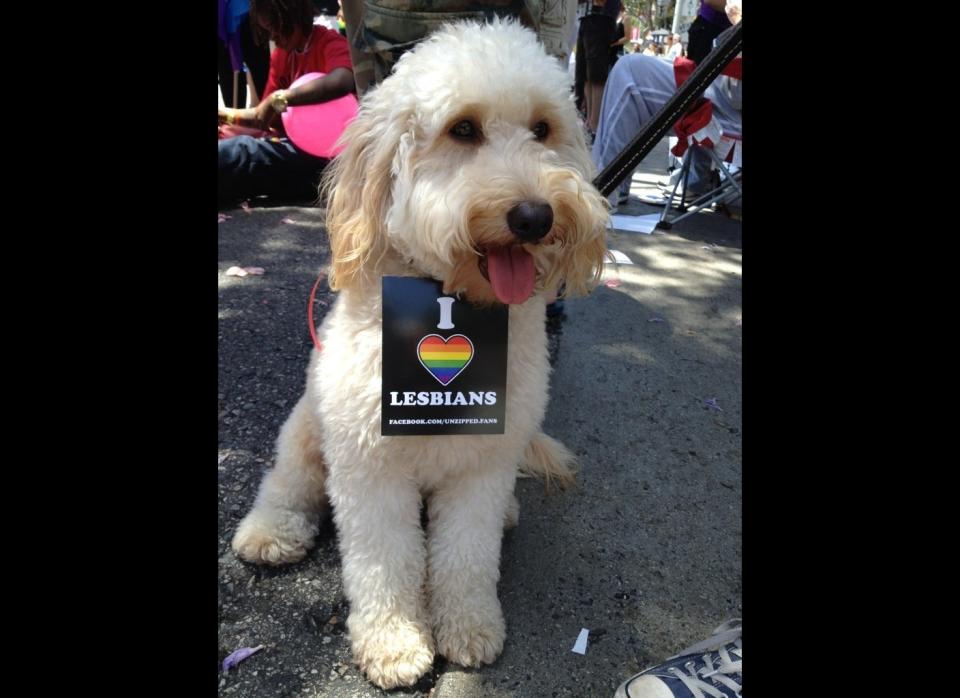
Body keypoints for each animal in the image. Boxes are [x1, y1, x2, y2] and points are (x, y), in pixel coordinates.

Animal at [232, 19, 608, 688]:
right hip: (308, 425)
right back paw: (270, 531)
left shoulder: (483, 466)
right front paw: (395, 641)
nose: (534, 215)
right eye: (463, 129)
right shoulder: (370, 466)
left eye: (543, 129)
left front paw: (469, 625)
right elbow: (385, 562)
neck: (452, 298)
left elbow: (467, 555)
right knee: (289, 479)